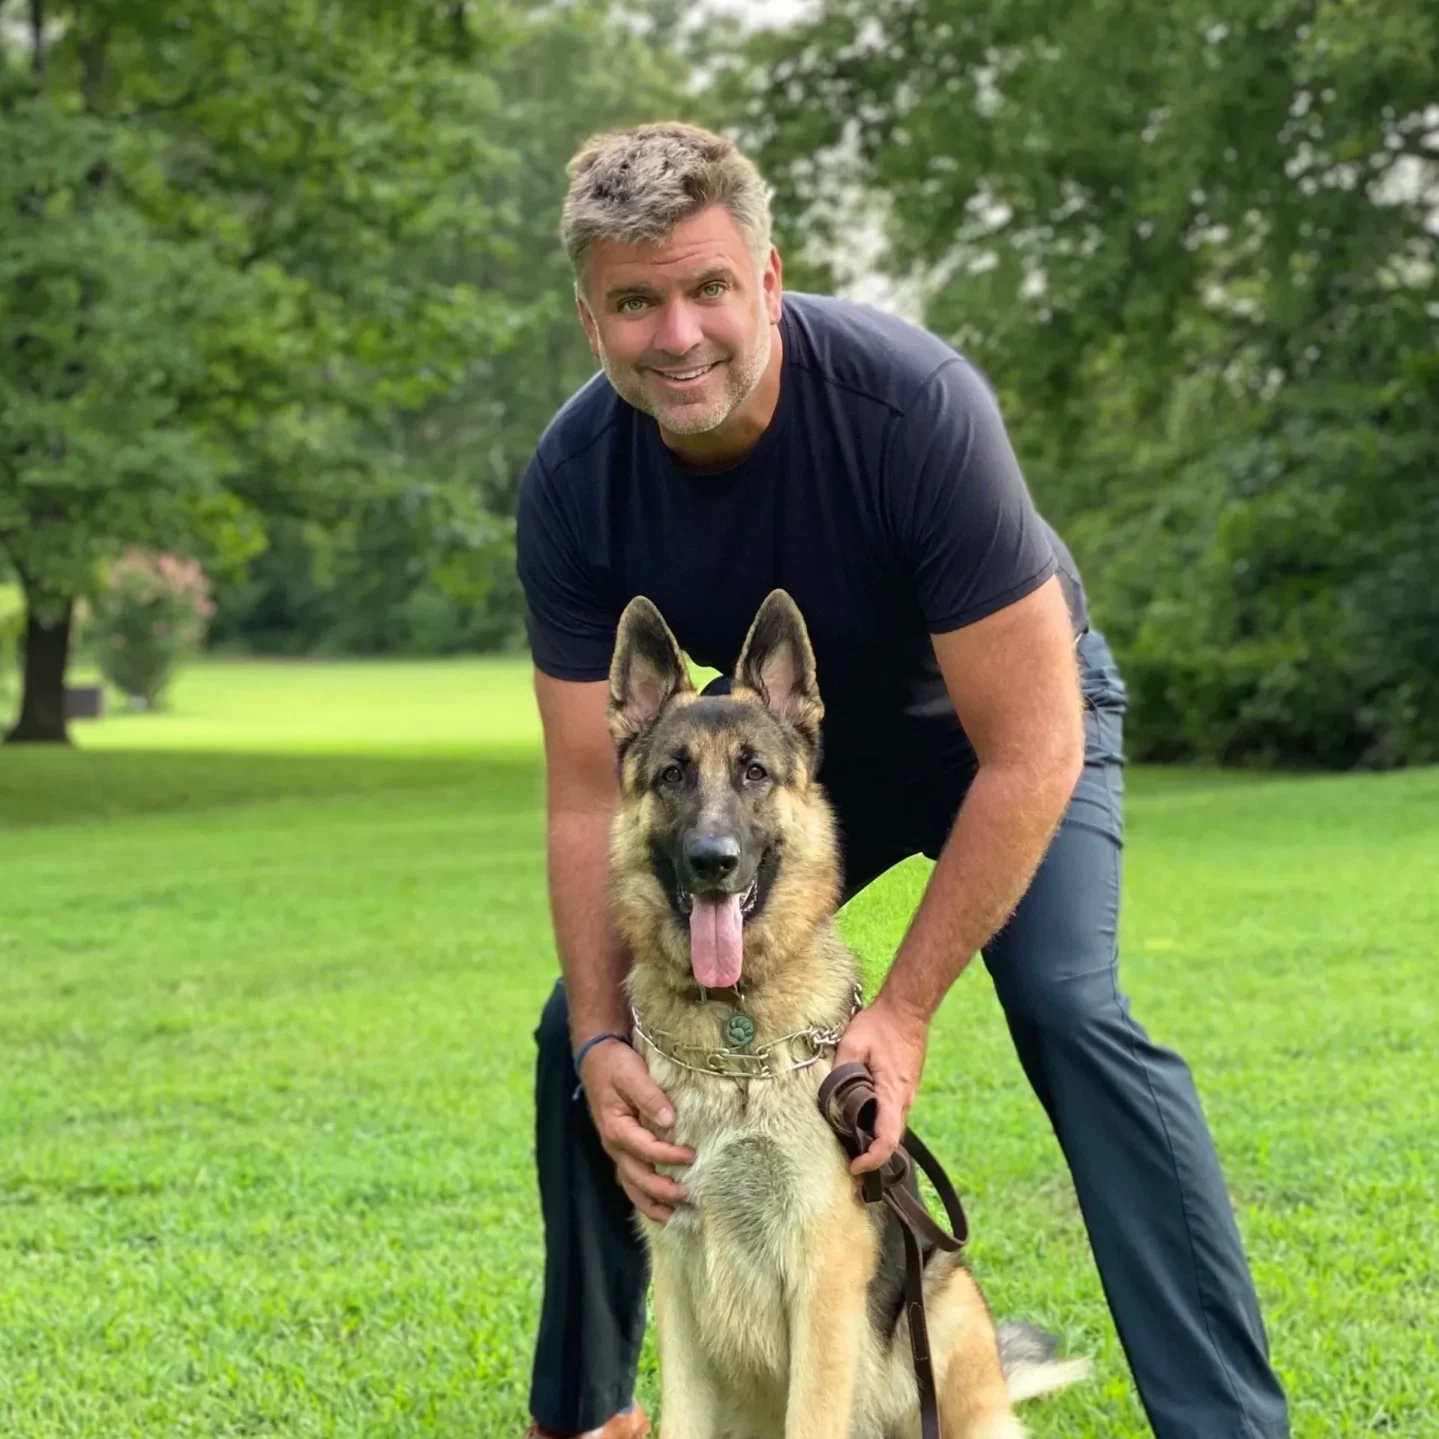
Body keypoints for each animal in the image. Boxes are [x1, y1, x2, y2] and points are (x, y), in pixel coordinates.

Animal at [607, 589, 1087, 1433]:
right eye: (671, 775)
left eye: (754, 772)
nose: (712, 861)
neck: (735, 1033)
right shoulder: (679, 1276)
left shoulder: (822, 1281)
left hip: (945, 1317)